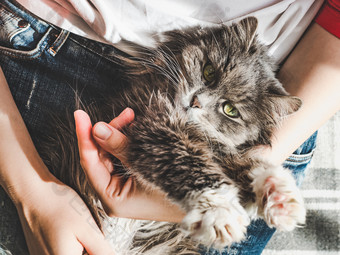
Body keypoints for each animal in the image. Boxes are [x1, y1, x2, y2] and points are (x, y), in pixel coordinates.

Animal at [42, 16, 306, 254]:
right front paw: (220, 213)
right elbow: (193, 167)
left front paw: (279, 196)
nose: (196, 102)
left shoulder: (217, 150)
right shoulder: (155, 126)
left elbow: (248, 167)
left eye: (230, 110)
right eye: (209, 72)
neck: (191, 128)